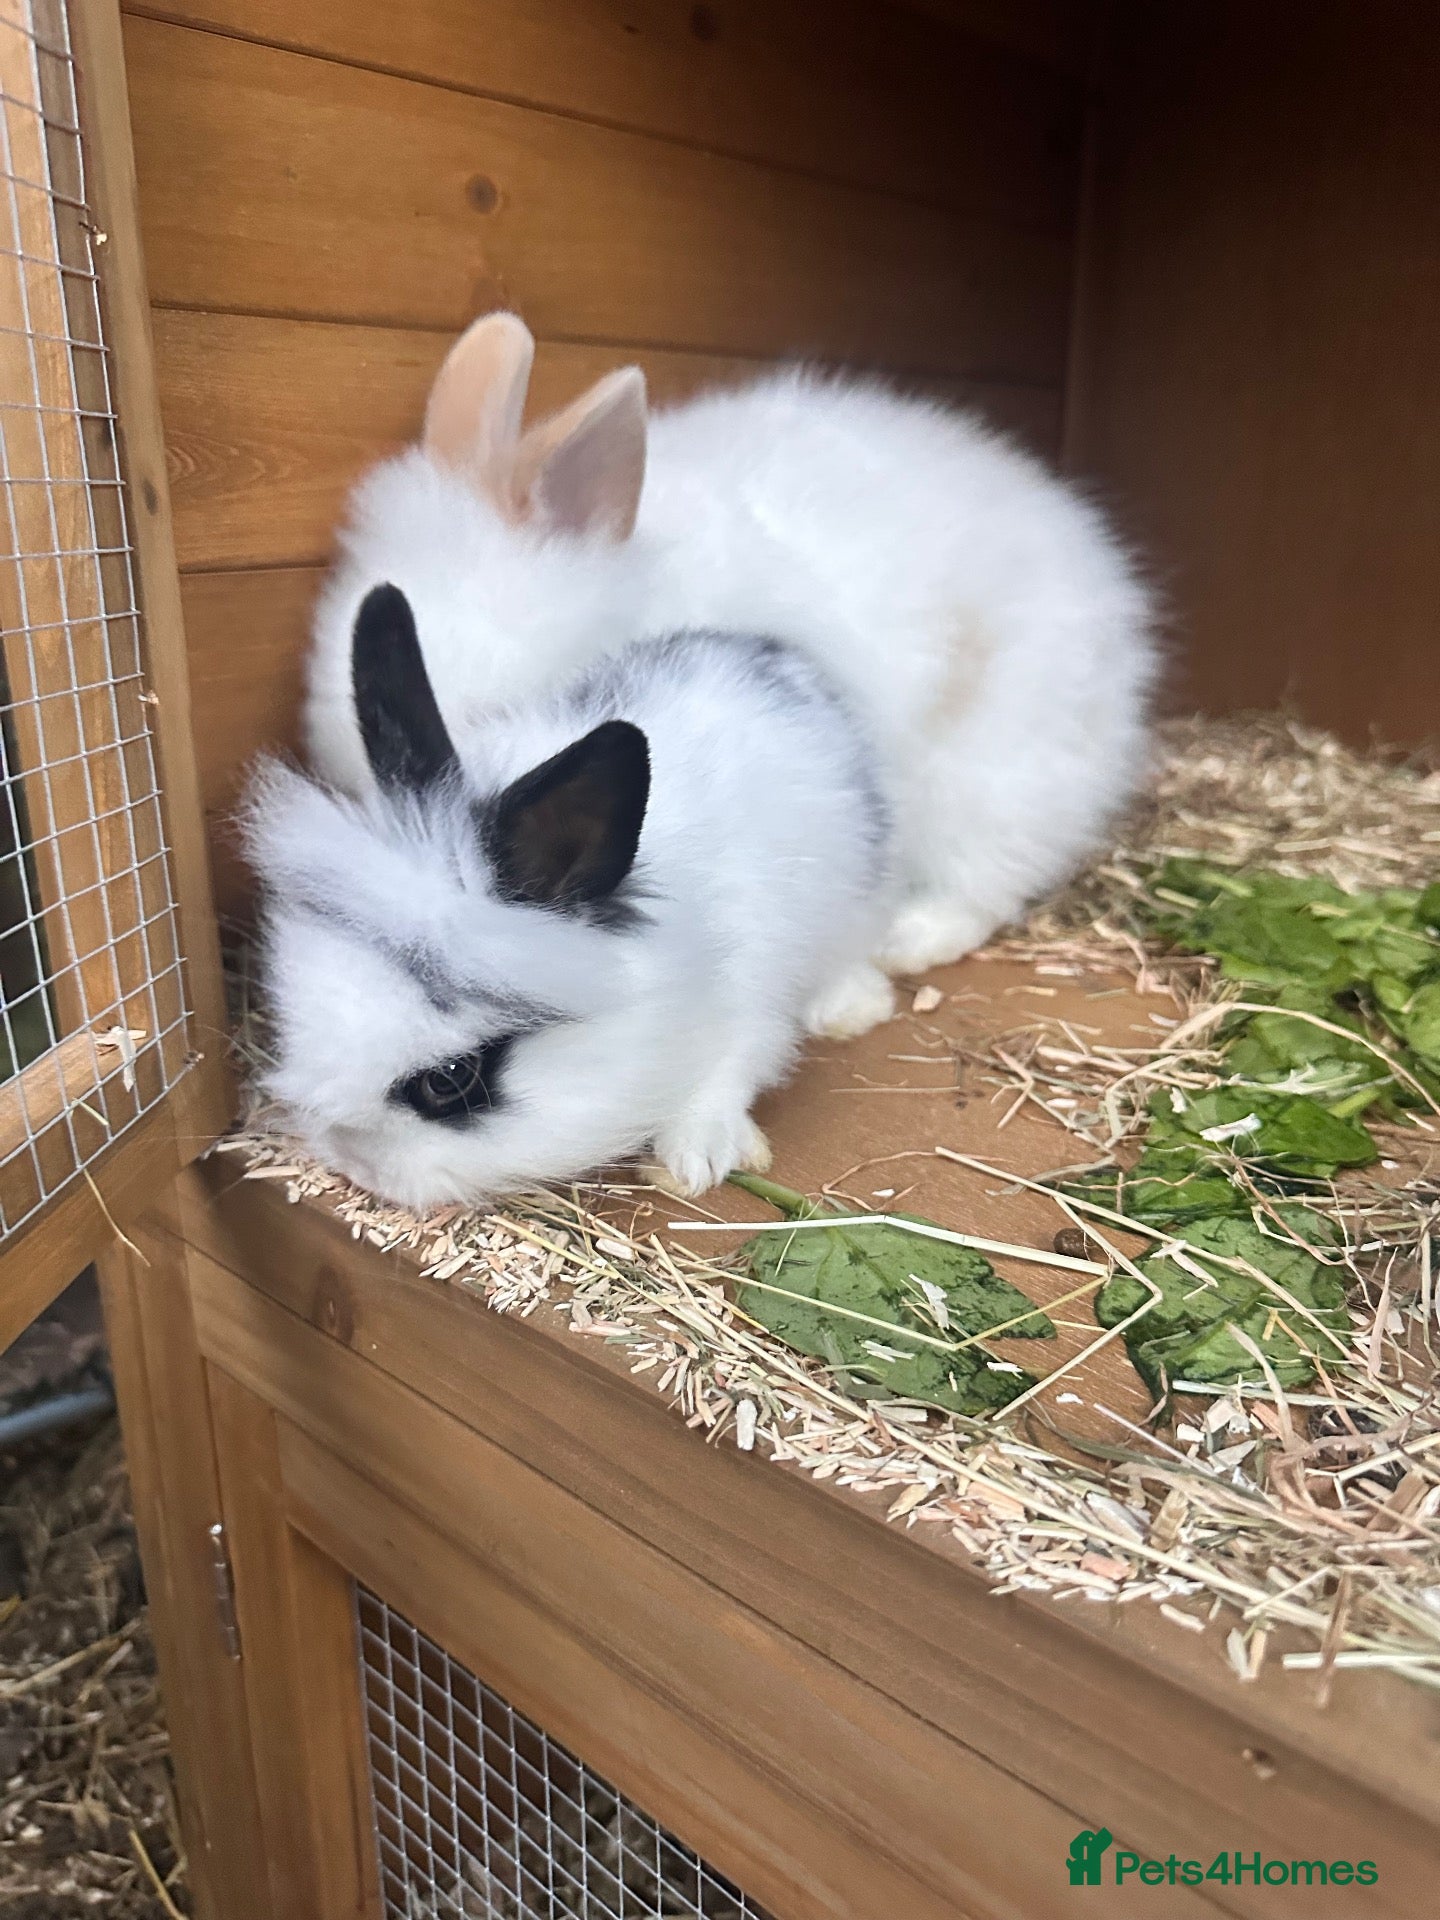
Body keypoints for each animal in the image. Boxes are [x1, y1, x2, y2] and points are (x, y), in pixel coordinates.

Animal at [246, 583, 895, 1208]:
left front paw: (696, 1158)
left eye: (451, 1078)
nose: (356, 1164)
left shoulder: (750, 1004)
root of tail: (775, 650)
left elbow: (726, 1074)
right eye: (289, 1014)